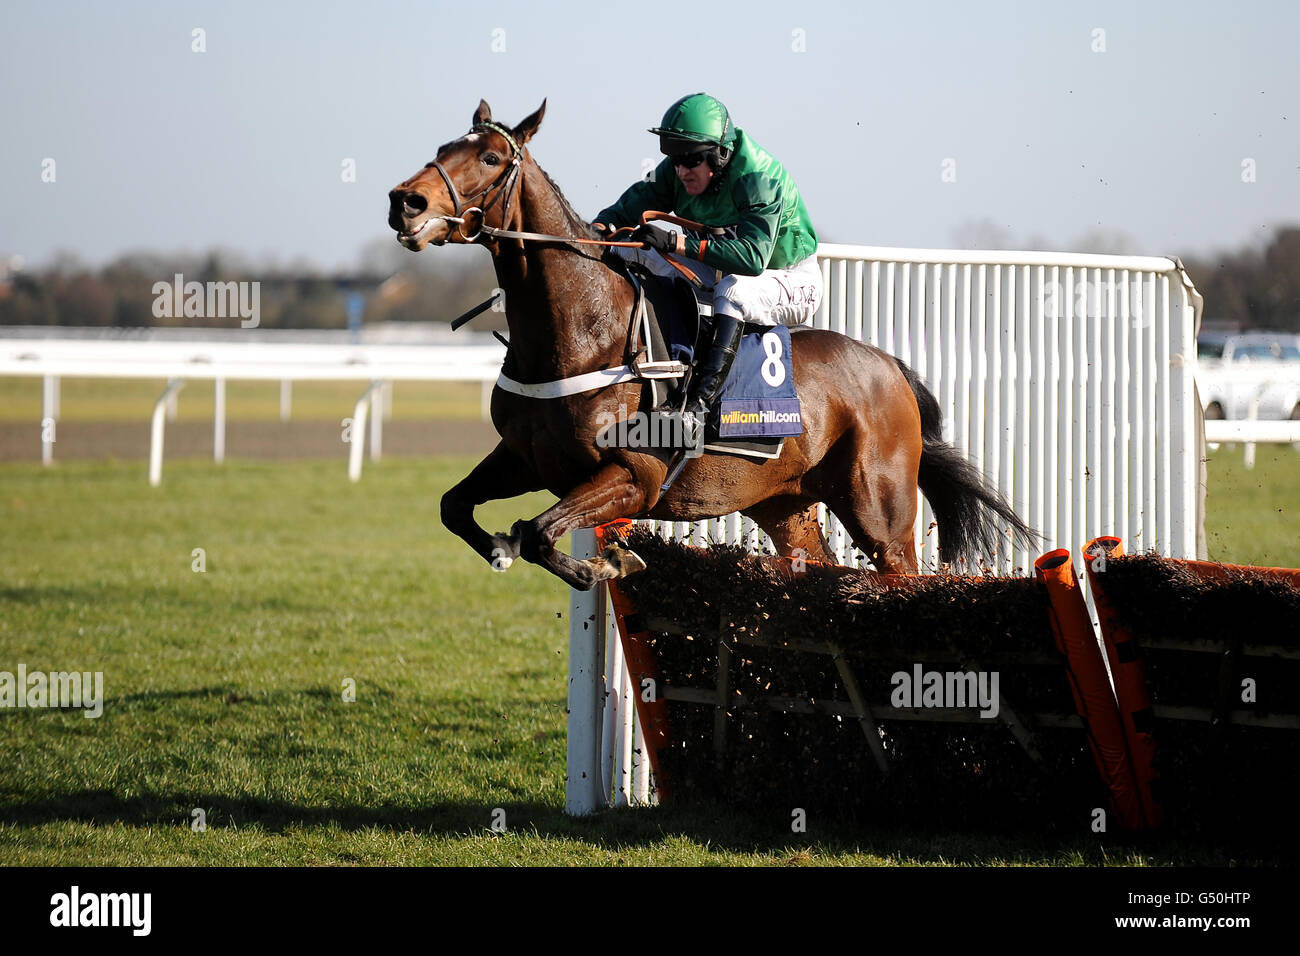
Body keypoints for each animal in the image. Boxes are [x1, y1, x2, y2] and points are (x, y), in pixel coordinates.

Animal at [384, 98, 1034, 590]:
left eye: (491, 157)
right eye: (443, 148)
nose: (404, 202)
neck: (583, 332)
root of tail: (889, 366)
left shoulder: (635, 475)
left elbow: (539, 533)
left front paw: (611, 563)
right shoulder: (524, 457)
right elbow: (455, 507)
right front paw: (510, 548)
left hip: (882, 514)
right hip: (784, 502)